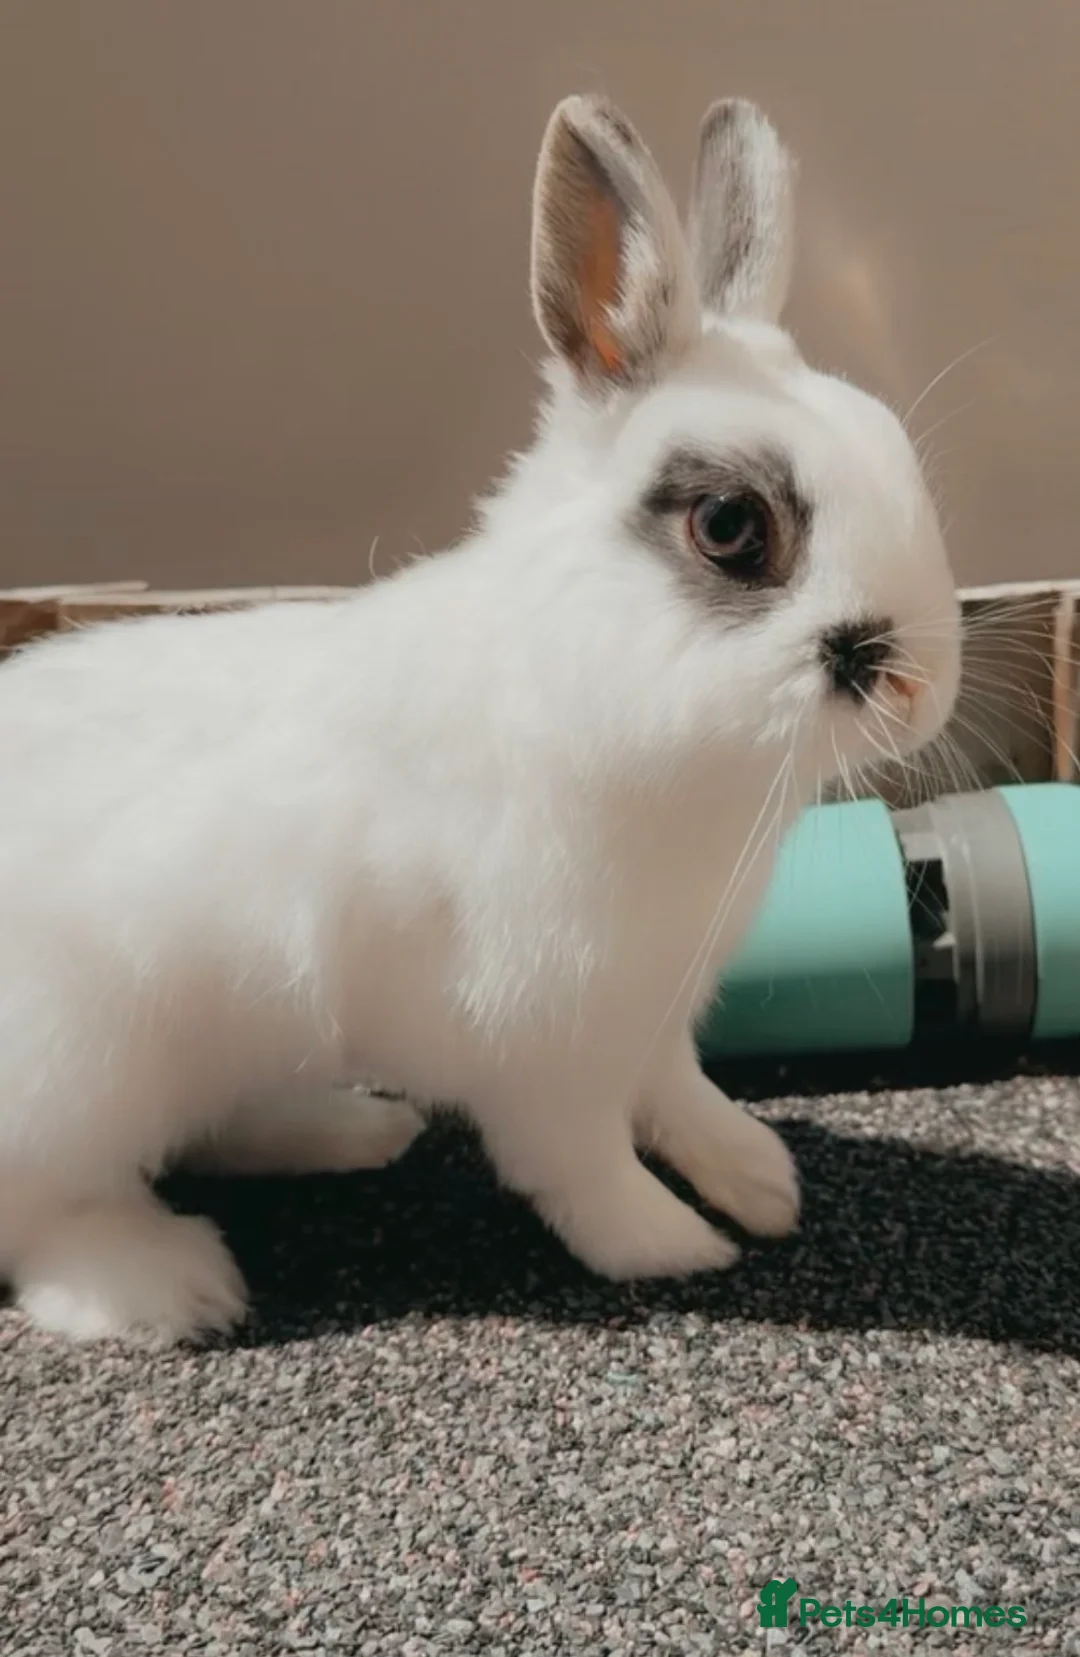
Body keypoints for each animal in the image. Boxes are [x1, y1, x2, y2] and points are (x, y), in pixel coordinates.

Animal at [0, 93, 960, 1343]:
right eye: (730, 526)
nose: (924, 688)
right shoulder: (546, 1049)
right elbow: (583, 1168)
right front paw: (674, 1246)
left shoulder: (653, 1019)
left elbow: (684, 1098)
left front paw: (762, 1180)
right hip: (76, 1077)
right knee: (46, 1215)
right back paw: (173, 1283)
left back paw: (353, 1128)